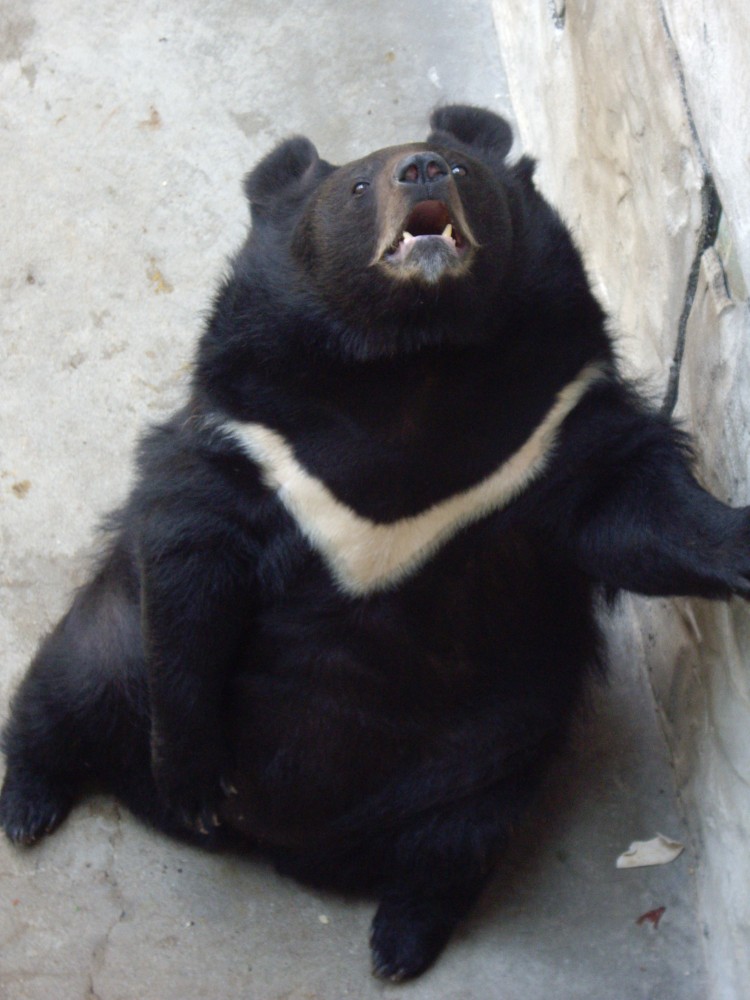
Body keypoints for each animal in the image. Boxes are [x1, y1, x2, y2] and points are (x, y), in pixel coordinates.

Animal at [1, 104, 749, 982]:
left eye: (459, 169)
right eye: (359, 185)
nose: (419, 169)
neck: (412, 360)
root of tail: (279, 842)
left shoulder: (555, 426)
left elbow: (635, 508)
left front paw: (739, 544)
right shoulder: (251, 438)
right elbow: (191, 561)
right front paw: (191, 781)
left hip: (487, 756)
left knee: (452, 847)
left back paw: (399, 941)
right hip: (117, 649)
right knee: (64, 688)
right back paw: (33, 806)